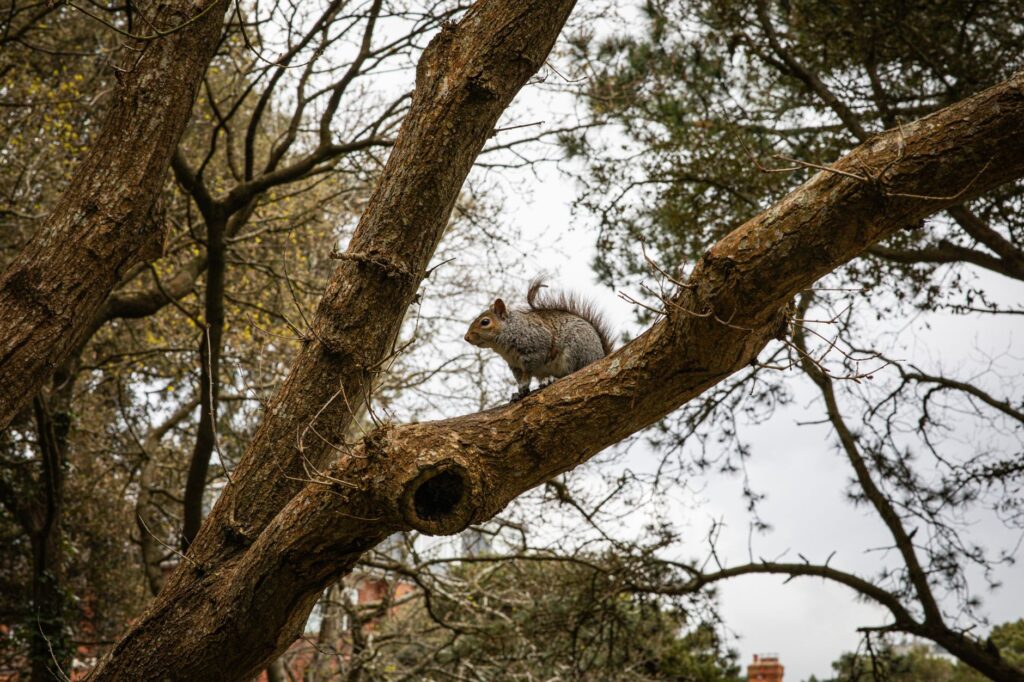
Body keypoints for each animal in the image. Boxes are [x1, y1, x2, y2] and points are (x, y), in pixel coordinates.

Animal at [464, 277, 614, 402]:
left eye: (485, 322)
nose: (466, 338)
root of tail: (600, 356)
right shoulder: (514, 365)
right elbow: (520, 376)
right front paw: (519, 392)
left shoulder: (536, 348)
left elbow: (530, 368)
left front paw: (523, 385)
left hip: (576, 351)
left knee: (571, 374)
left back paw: (552, 378)